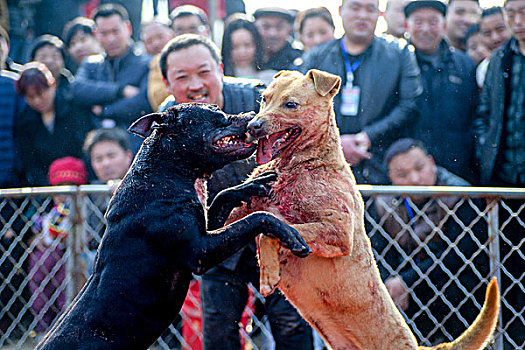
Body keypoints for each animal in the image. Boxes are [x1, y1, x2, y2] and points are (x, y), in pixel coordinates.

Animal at [37, 102, 312, 348]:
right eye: (215, 112)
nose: (252, 113)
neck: (164, 172)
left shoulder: (206, 229)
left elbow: (224, 196)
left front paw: (253, 184)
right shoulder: (201, 251)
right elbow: (256, 219)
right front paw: (291, 235)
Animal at [229, 69, 500, 350]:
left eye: (291, 104)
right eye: (264, 98)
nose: (252, 126)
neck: (306, 163)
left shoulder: (336, 232)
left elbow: (270, 231)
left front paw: (268, 275)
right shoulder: (243, 213)